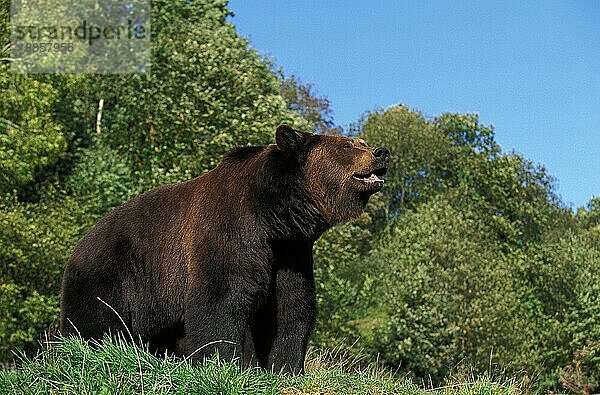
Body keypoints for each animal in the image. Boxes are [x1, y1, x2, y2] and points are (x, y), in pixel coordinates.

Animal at [59, 126, 390, 374]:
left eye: (361, 142)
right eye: (346, 146)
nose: (381, 152)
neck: (272, 216)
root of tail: (79, 244)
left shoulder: (290, 252)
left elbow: (290, 307)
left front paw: (284, 367)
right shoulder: (228, 232)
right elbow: (220, 298)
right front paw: (220, 363)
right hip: (111, 275)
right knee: (92, 324)